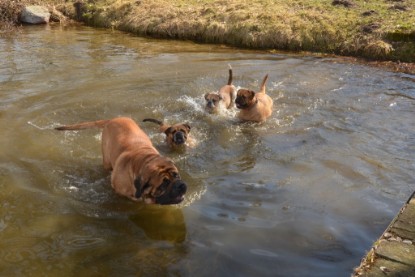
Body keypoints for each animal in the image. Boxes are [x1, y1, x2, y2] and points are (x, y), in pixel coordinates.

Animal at [54, 116, 187, 205]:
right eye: (164, 183)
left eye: (176, 175)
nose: (181, 185)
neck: (145, 160)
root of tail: (112, 119)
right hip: (106, 160)